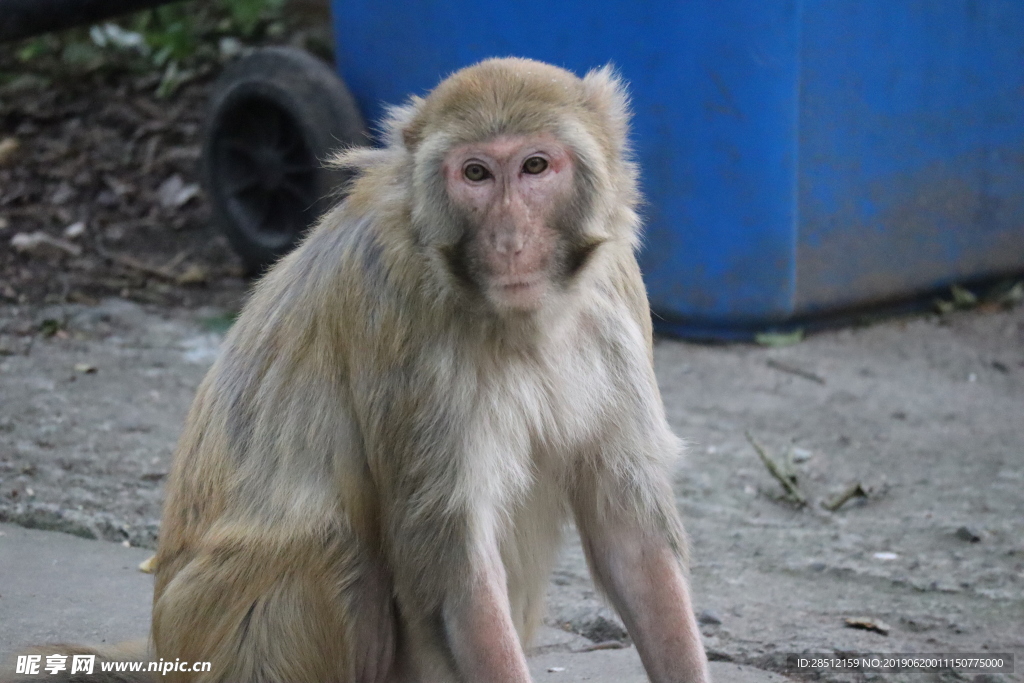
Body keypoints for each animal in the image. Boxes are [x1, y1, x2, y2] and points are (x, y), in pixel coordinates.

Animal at [6, 57, 712, 683]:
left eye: (535, 166)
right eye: (476, 174)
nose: (511, 239)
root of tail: (161, 649)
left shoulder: (617, 295)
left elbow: (631, 540)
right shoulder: (401, 314)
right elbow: (452, 566)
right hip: (209, 631)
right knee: (331, 545)